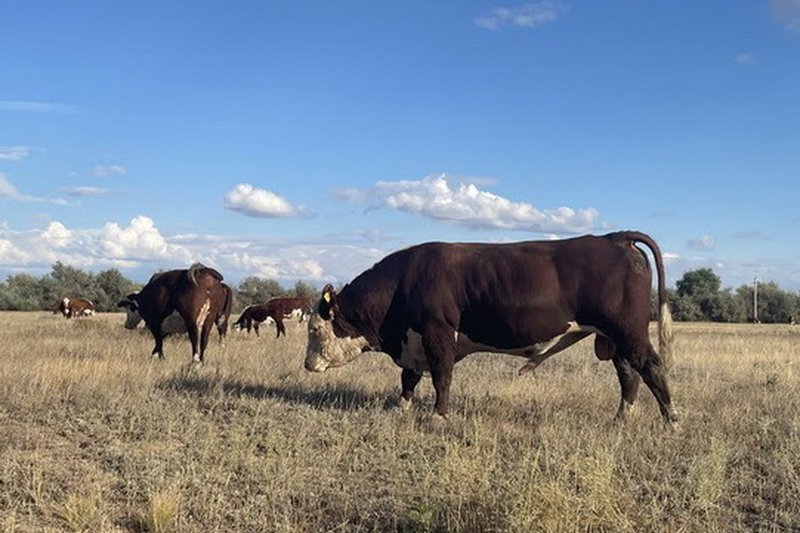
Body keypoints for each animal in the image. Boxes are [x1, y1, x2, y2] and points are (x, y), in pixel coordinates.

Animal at [304, 231, 680, 422]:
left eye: (314, 329)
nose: (307, 364)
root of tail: (613, 238)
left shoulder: (438, 333)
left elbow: (441, 377)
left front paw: (439, 415)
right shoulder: (414, 342)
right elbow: (408, 379)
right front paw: (402, 406)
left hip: (628, 330)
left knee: (651, 366)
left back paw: (671, 418)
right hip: (614, 337)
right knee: (628, 373)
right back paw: (621, 419)